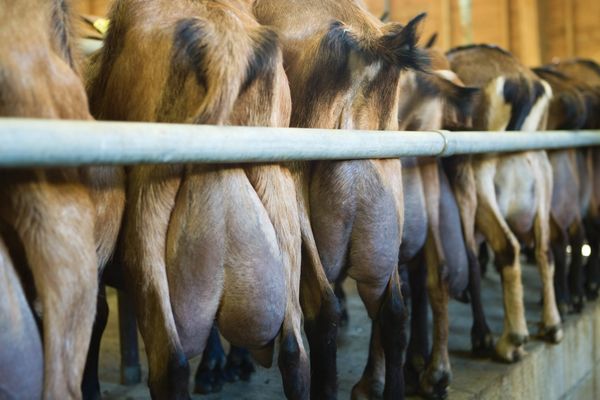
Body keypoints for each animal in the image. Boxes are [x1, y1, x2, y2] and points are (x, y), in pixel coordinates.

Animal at [442, 44, 560, 362]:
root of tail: (522, 84)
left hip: (480, 175)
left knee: (506, 247)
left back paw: (509, 340)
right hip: (541, 169)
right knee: (544, 249)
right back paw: (551, 325)